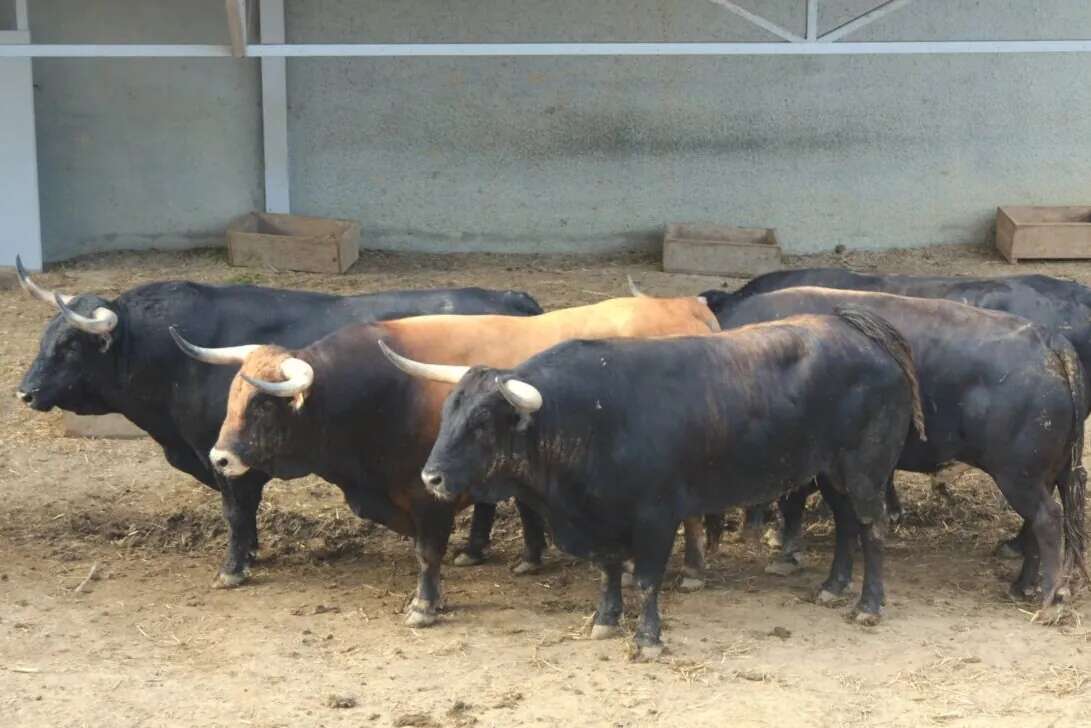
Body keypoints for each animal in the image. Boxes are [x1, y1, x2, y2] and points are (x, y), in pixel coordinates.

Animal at [14, 267, 543, 585]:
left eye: (70, 345)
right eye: (46, 337)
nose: (25, 391)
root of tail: (509, 296)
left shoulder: (228, 458)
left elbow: (236, 512)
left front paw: (233, 568)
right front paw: (251, 553)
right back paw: (474, 549)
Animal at [418, 307, 929, 654]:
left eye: (483, 421)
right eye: (449, 413)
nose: (431, 476)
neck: (593, 414)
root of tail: (854, 327)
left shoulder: (656, 517)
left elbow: (647, 580)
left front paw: (648, 639)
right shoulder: (604, 520)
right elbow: (608, 570)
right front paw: (605, 619)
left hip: (864, 471)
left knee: (873, 529)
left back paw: (868, 606)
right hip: (831, 472)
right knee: (847, 525)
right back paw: (832, 587)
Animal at [702, 288, 1086, 606]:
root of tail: (1050, 341)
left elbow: (795, 502)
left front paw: (783, 551)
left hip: (1019, 475)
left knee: (1047, 519)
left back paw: (1046, 596)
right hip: (1045, 473)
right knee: (1040, 522)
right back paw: (1022, 586)